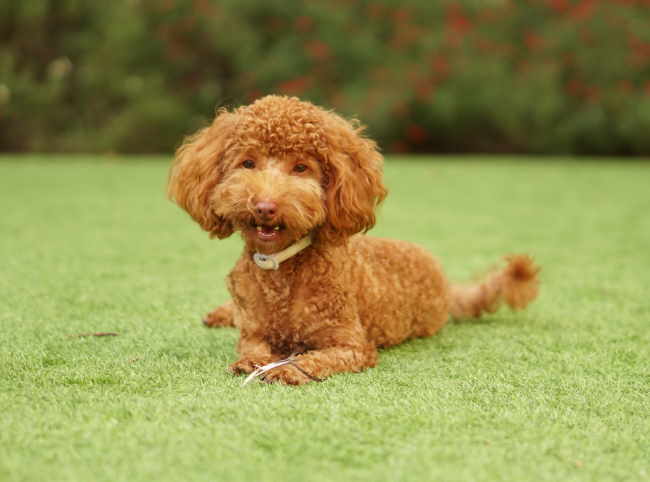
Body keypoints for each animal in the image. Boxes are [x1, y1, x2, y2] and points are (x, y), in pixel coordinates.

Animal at [168, 96, 536, 386]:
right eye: (247, 163)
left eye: (300, 168)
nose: (265, 207)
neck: (282, 270)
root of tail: (445, 283)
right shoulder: (253, 331)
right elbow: (251, 347)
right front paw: (252, 361)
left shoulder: (352, 346)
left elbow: (315, 358)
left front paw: (288, 369)